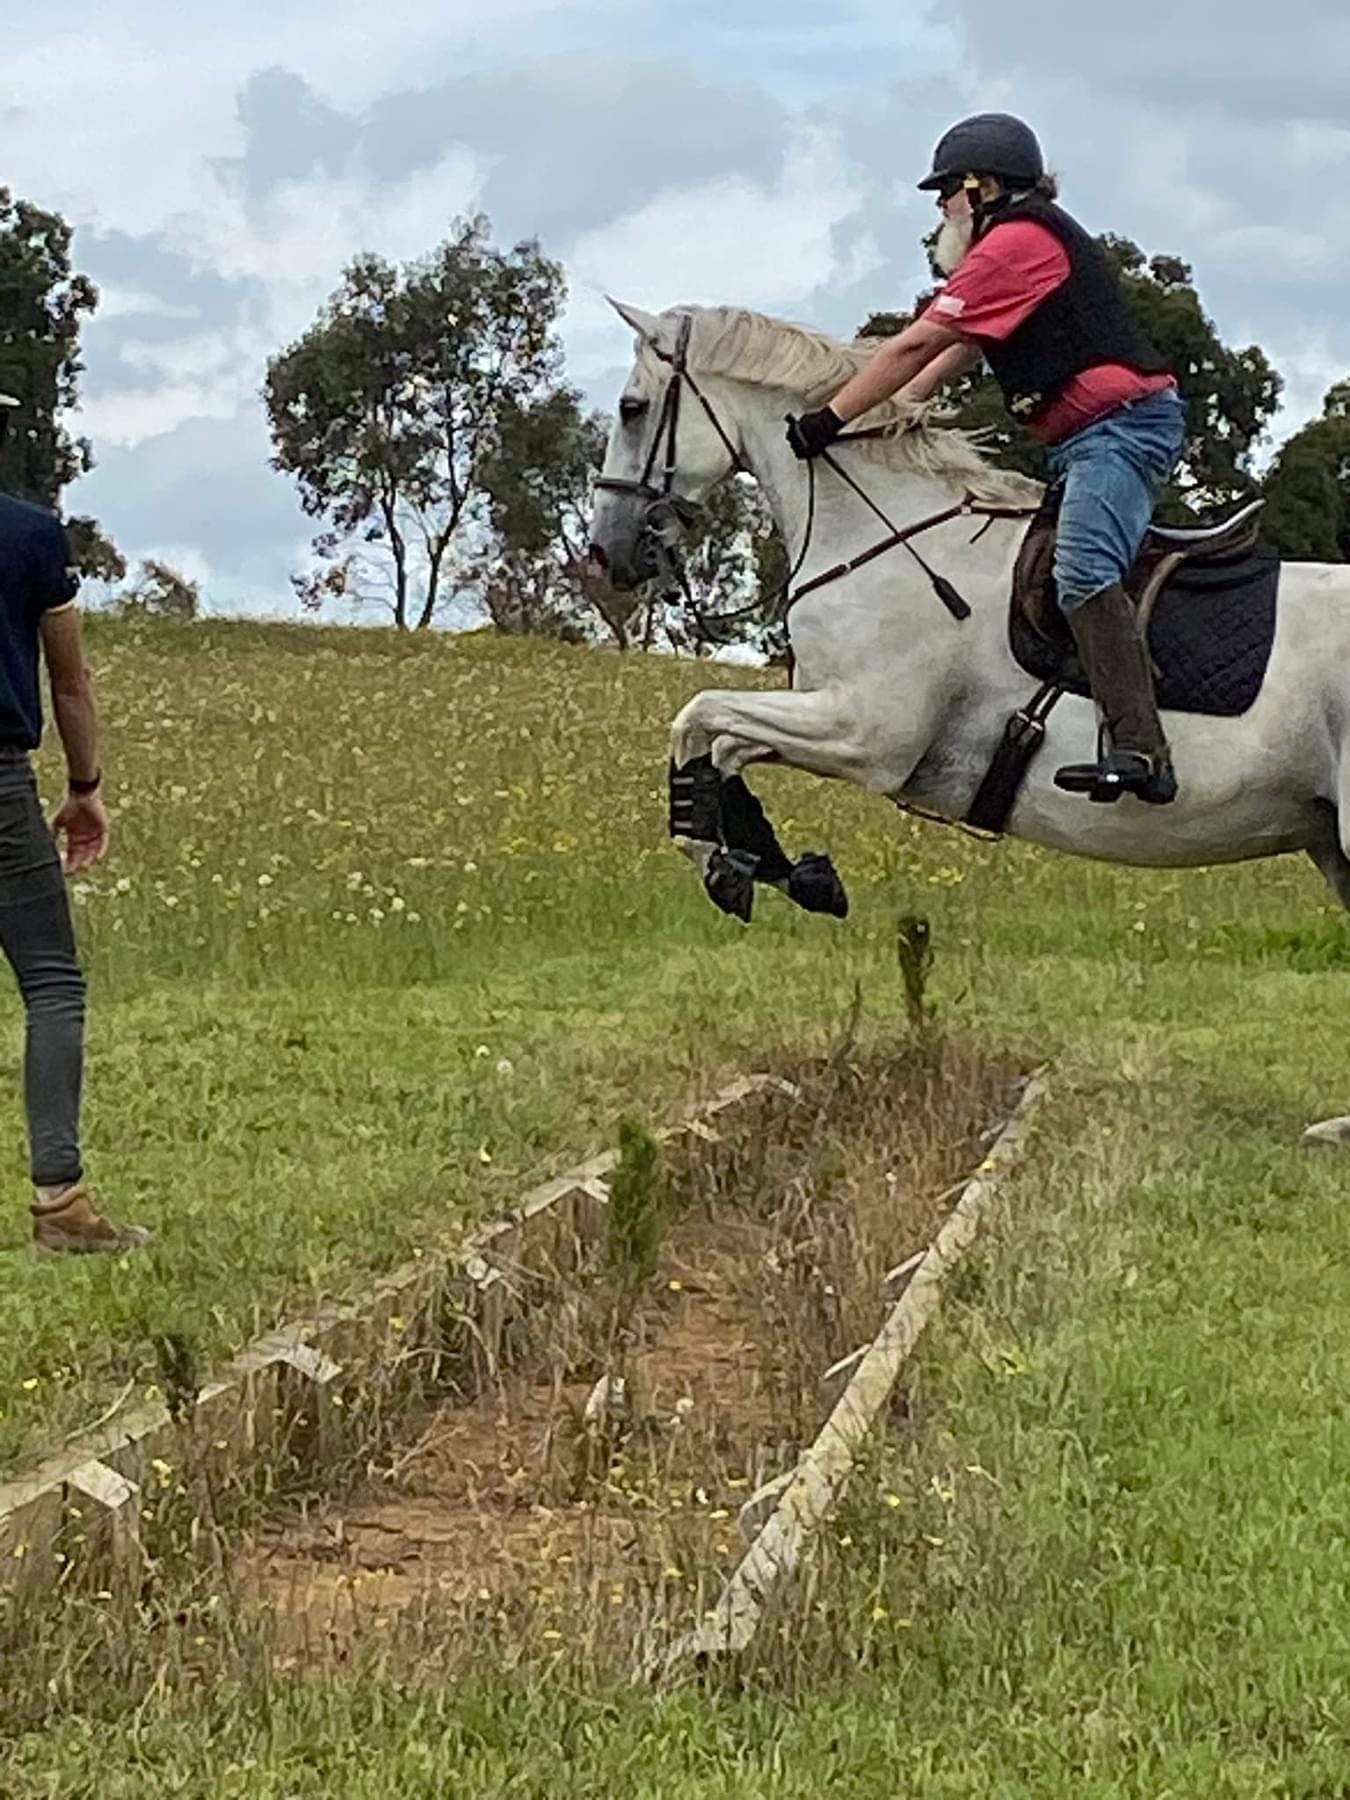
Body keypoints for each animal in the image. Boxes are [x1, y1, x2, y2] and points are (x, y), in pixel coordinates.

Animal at [586, 299, 1350, 1143]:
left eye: (631, 408)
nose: (606, 552)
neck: (885, 535)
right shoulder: (830, 720)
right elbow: (717, 745)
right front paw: (788, 871)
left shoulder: (864, 733)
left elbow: (697, 720)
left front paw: (726, 867)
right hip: (1330, 842)